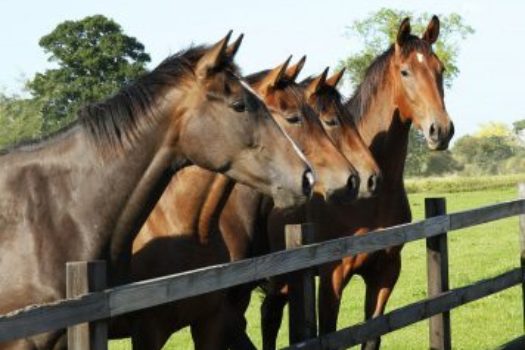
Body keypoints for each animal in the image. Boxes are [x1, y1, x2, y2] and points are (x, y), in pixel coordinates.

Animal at [260, 15, 454, 350]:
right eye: (405, 71)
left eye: (440, 68)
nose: (440, 130)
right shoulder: (332, 276)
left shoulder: (386, 271)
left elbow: (371, 335)